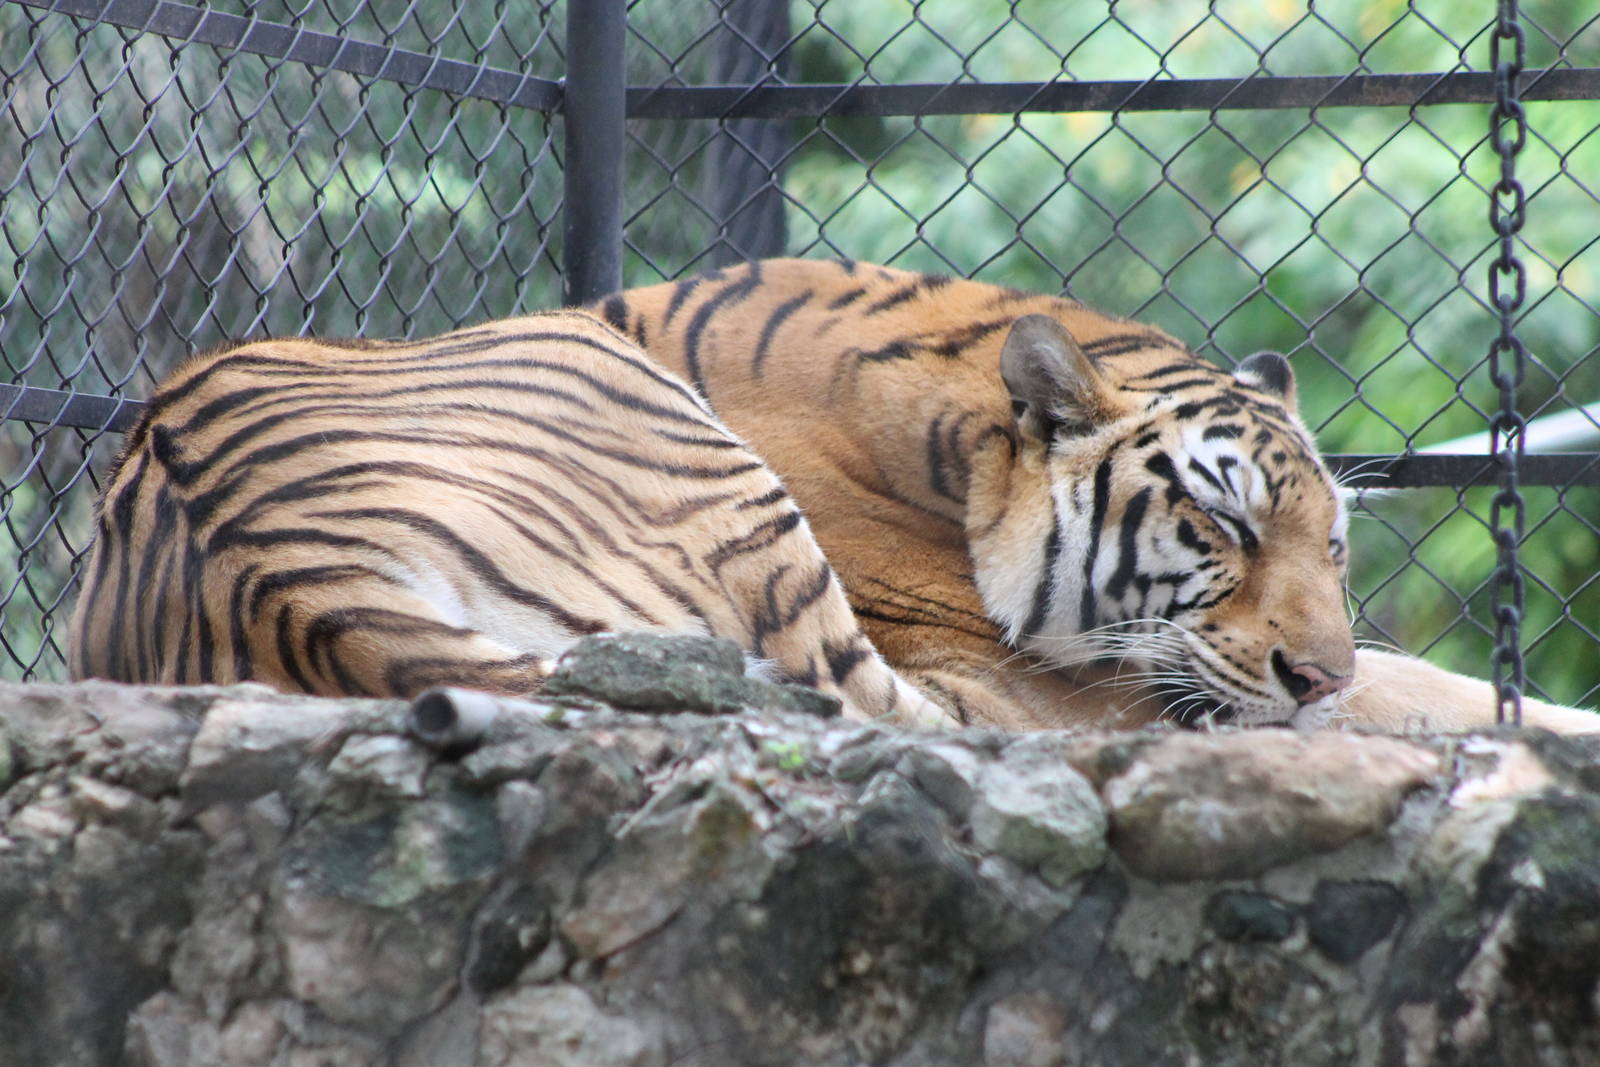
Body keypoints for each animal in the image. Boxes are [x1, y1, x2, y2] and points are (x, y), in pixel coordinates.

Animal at [595, 258, 1599, 733]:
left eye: (1334, 545)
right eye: (1225, 522)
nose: (1319, 679)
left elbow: (1405, 680)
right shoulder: (1009, 688)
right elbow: (1395, 693)